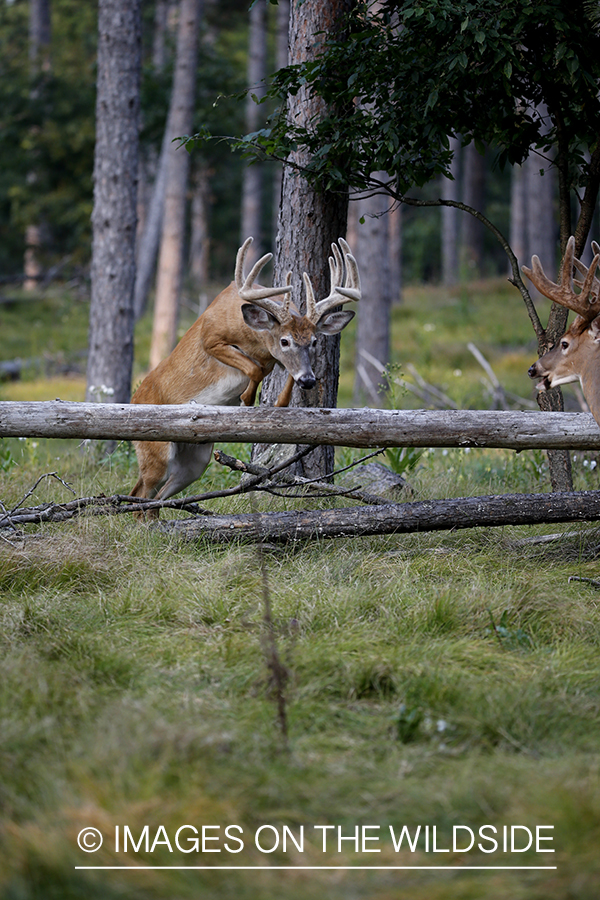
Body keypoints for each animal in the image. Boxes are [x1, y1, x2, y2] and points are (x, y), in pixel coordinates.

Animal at [130, 236, 360, 512]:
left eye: (314, 341)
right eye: (284, 341)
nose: (308, 380)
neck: (255, 340)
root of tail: (134, 398)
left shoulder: (276, 361)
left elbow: (279, 380)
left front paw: (277, 401)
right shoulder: (212, 338)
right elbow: (254, 368)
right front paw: (246, 399)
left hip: (194, 461)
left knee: (156, 498)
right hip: (155, 450)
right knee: (140, 492)